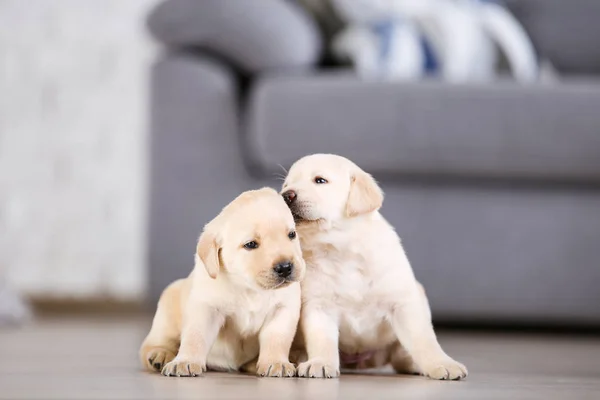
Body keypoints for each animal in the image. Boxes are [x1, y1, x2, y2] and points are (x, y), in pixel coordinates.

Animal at [140, 189, 304, 376]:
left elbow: (277, 339)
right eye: (251, 244)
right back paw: (160, 355)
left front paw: (276, 362)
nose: (285, 267)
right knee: (153, 344)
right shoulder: (206, 308)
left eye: (292, 234)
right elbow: (195, 336)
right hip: (168, 308)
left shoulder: (282, 309)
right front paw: (185, 361)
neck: (249, 288)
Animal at [282, 154, 468, 382]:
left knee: (403, 355)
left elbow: (423, 339)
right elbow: (322, 340)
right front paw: (321, 362)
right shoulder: (318, 306)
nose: (286, 196)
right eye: (286, 185)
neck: (341, 250)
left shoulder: (403, 302)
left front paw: (442, 363)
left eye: (320, 180)